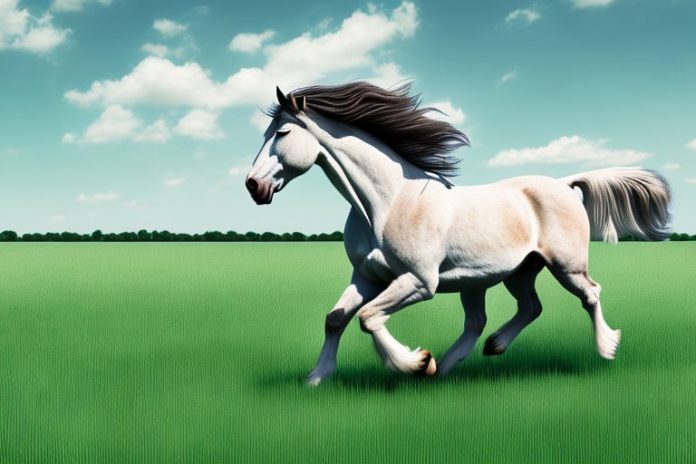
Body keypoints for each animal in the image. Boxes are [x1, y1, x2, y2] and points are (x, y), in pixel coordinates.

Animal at [245, 82, 671, 386]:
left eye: (282, 133)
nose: (253, 186)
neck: (388, 203)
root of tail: (565, 184)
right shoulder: (366, 276)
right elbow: (335, 318)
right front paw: (316, 379)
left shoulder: (419, 281)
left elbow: (368, 317)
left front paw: (415, 362)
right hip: (509, 274)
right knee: (515, 312)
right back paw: (471, 356)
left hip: (565, 266)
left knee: (590, 294)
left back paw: (606, 348)